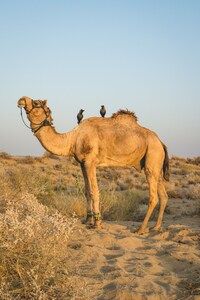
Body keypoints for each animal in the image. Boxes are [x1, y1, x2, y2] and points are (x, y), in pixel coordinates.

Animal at [18, 96, 170, 234]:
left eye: (36, 103)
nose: (21, 100)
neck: (73, 139)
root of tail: (161, 142)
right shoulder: (82, 163)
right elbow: (86, 191)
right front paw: (87, 220)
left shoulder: (90, 162)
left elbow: (94, 191)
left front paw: (97, 223)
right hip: (155, 164)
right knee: (163, 195)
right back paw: (155, 227)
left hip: (153, 156)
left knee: (153, 197)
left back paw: (141, 229)